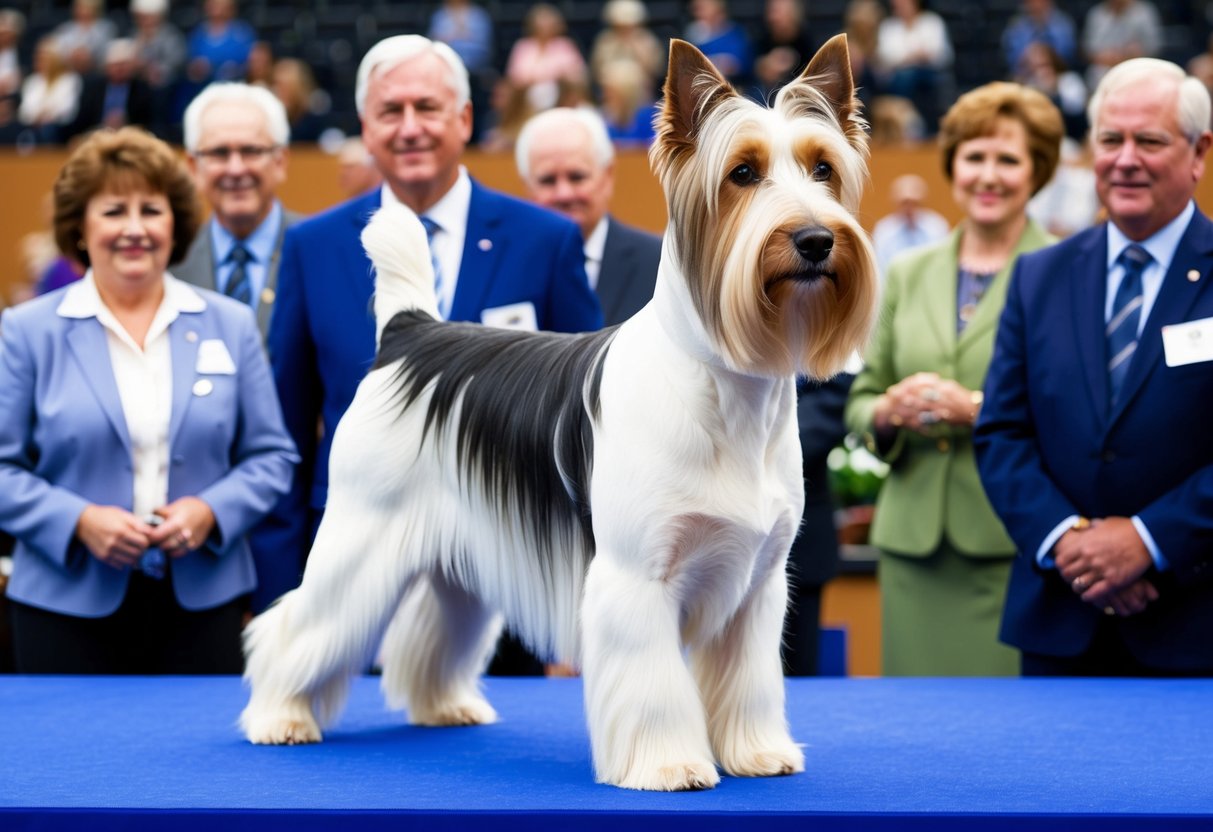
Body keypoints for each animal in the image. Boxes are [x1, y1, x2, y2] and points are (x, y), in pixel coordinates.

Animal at [241, 37, 878, 795]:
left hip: (458, 549)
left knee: (434, 623)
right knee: (300, 626)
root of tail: (410, 330)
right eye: (743, 174)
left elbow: (748, 680)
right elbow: (653, 686)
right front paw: (668, 765)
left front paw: (755, 752)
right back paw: (278, 716)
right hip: (362, 532)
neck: (722, 385)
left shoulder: (755, 585)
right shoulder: (637, 576)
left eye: (823, 169)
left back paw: (442, 704)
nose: (815, 239)